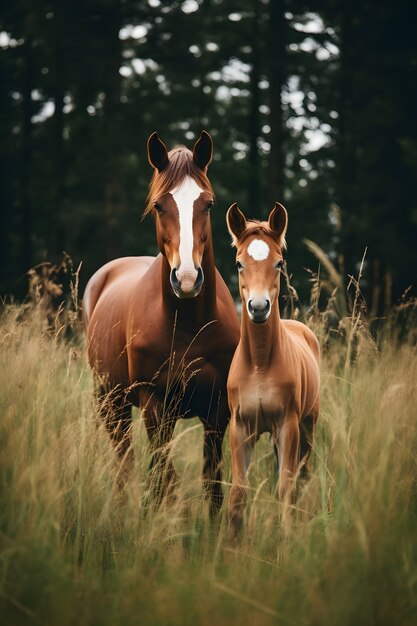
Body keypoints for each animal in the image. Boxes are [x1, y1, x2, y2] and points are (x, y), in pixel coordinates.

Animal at [83, 129, 239, 510]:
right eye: (158, 205)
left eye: (208, 204)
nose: (186, 279)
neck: (189, 326)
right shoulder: (156, 406)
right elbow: (164, 483)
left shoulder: (217, 411)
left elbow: (211, 484)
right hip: (111, 404)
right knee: (125, 463)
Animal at [224, 201, 318, 532]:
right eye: (239, 263)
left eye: (279, 263)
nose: (258, 307)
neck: (260, 364)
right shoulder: (240, 427)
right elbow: (239, 492)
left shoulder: (287, 425)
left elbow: (286, 486)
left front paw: (288, 538)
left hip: (307, 427)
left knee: (303, 478)